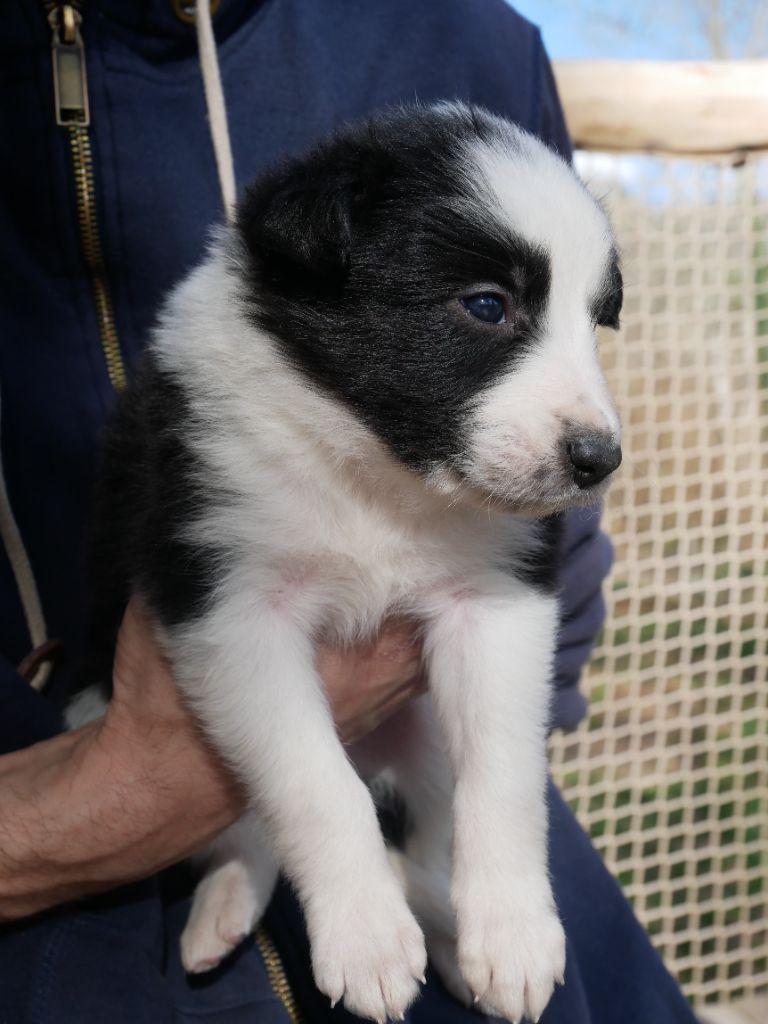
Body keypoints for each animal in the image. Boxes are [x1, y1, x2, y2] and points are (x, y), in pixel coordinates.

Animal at [70, 103, 626, 1024]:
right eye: (487, 305)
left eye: (597, 320)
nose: (599, 459)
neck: (378, 477)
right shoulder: (232, 610)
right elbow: (311, 782)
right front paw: (365, 939)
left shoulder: (497, 603)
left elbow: (503, 774)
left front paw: (511, 934)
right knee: (258, 822)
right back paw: (228, 909)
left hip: (418, 731)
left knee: (426, 829)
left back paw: (445, 927)